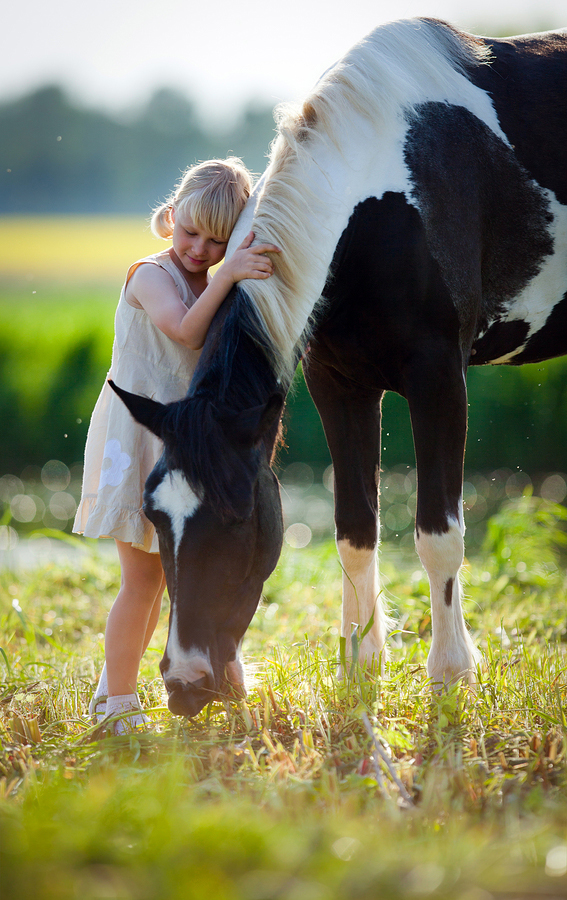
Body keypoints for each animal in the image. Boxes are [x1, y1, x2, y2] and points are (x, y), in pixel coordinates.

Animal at [111, 17, 567, 717]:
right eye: (155, 515)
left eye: (238, 515)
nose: (186, 685)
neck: (389, 195)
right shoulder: (339, 386)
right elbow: (355, 528)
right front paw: (360, 666)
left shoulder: (439, 379)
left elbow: (438, 531)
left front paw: (451, 674)